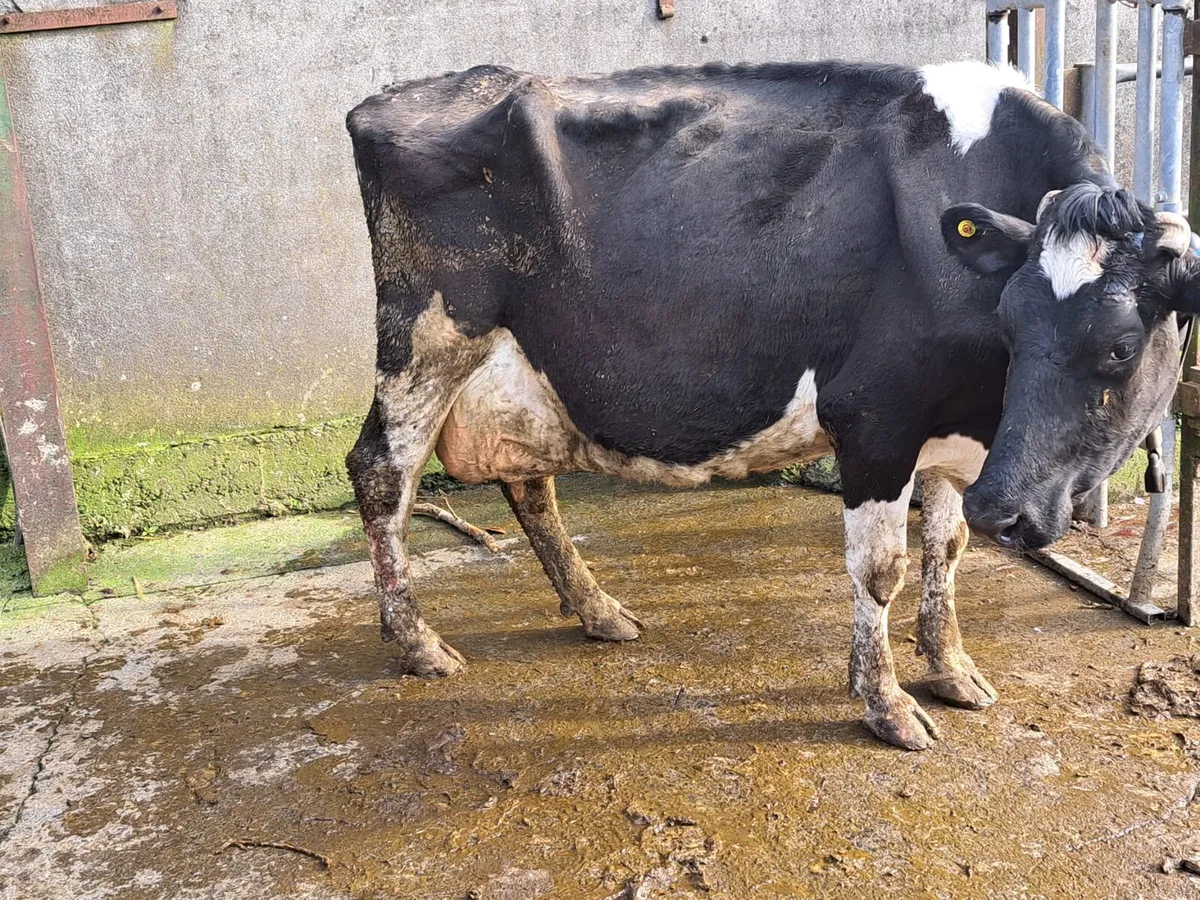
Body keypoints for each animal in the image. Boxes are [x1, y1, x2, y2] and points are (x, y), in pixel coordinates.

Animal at [344, 60, 1200, 750]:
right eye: (1012, 320)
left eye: (1119, 346)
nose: (1006, 511)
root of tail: (400, 95)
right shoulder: (875, 415)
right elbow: (882, 568)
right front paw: (887, 705)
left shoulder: (949, 425)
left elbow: (946, 549)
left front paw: (952, 668)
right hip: (429, 336)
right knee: (382, 472)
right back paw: (418, 644)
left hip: (518, 368)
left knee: (527, 479)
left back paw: (598, 611)